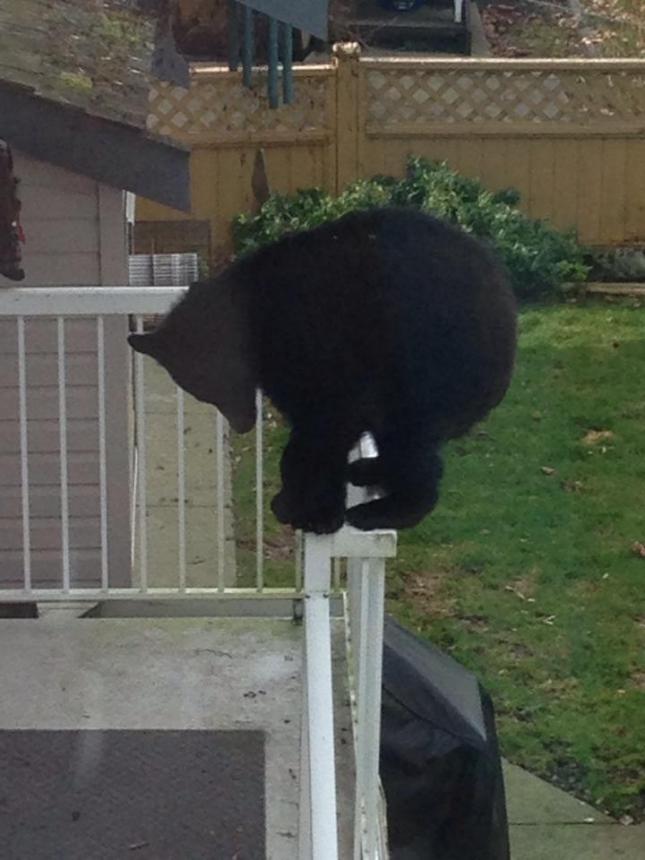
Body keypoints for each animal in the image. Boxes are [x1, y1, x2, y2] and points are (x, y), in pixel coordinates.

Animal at [128, 207, 516, 532]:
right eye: (200, 391)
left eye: (209, 383)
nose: (242, 425)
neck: (254, 322)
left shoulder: (320, 349)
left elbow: (322, 429)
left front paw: (304, 508)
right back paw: (370, 469)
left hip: (425, 366)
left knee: (408, 439)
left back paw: (390, 509)